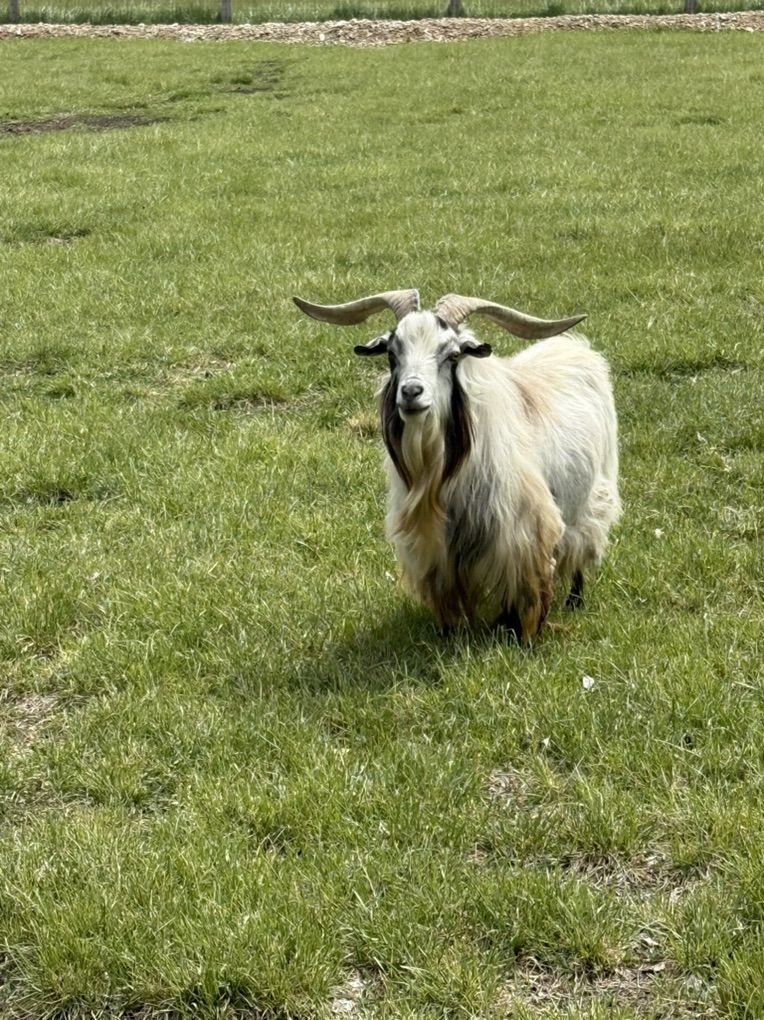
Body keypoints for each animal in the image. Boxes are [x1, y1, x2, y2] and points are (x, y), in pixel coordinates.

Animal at [294, 289, 621, 643]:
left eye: (452, 355)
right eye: (393, 354)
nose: (411, 392)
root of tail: (576, 348)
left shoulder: (520, 532)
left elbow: (523, 586)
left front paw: (519, 635)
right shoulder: (435, 547)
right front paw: (451, 633)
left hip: (592, 499)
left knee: (582, 549)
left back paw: (575, 600)